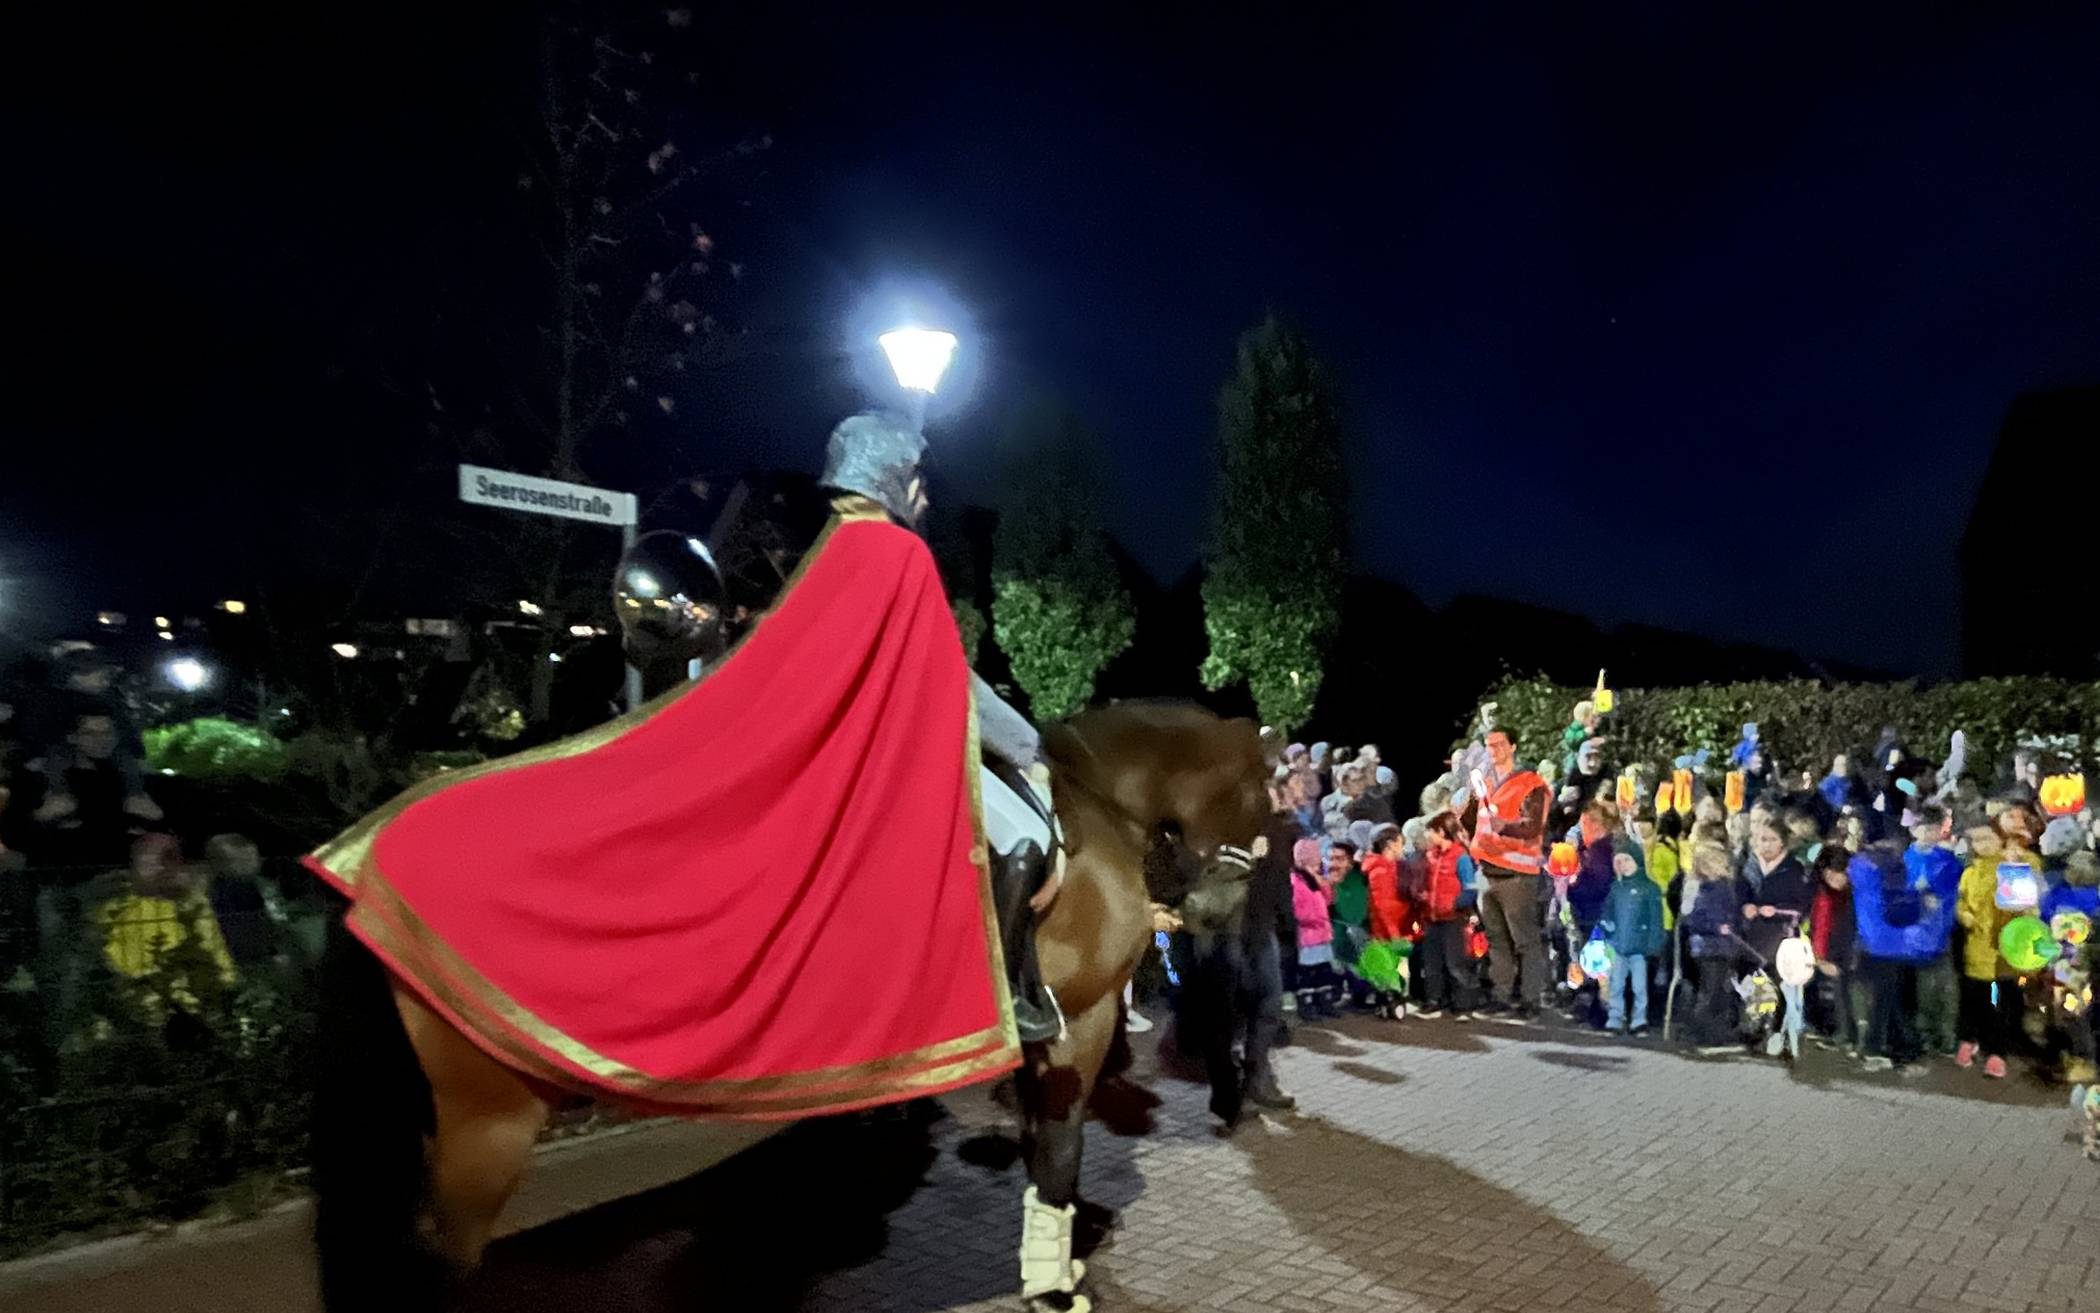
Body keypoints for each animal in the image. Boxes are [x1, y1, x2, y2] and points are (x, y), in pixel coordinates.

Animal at [308, 701, 1260, 1302]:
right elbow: (1059, 1150)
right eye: (1260, 792)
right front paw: (1055, 1283)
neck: (1090, 817)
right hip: (486, 1120)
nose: (1218, 912)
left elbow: (1038, 1146)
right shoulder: (1083, 1019)